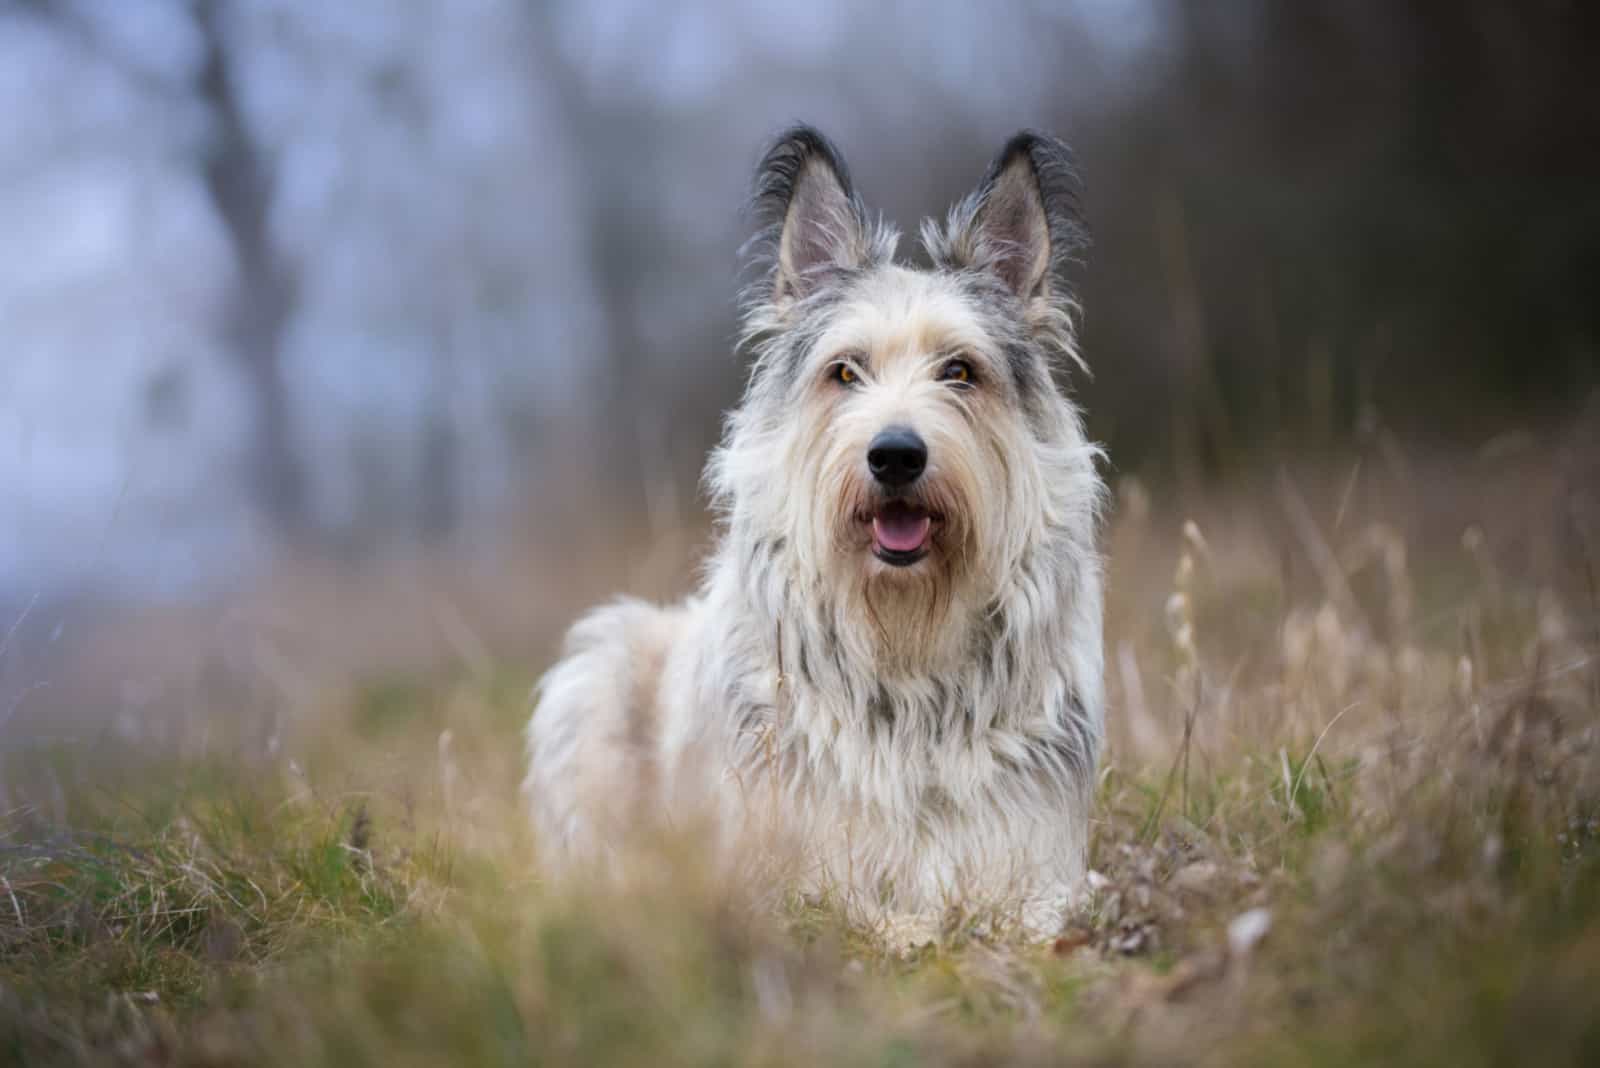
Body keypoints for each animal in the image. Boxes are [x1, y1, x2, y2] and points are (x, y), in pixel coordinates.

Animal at [524, 127, 1100, 940]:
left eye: (960, 371)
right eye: (845, 372)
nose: (896, 455)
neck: (903, 638)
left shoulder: (1035, 858)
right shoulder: (786, 868)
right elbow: (858, 912)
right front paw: (910, 931)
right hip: (599, 667)